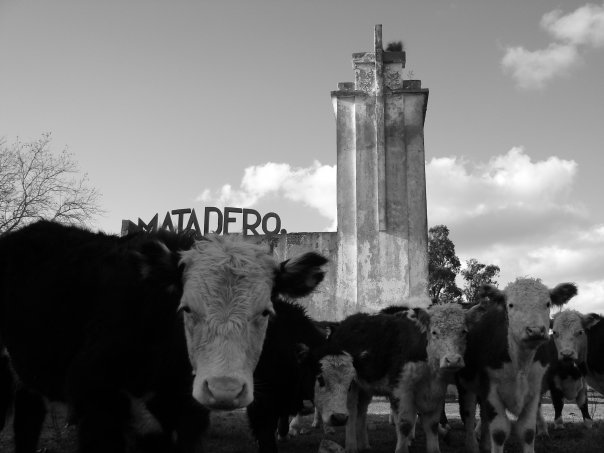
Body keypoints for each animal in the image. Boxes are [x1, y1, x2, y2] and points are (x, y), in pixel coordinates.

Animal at [312, 302, 468, 453]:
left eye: (464, 332)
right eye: (434, 332)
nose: (453, 360)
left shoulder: (437, 391)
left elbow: (432, 424)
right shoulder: (402, 389)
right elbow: (405, 423)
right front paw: (403, 447)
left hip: (365, 388)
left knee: (362, 411)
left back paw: (364, 444)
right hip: (350, 385)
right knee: (351, 411)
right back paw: (351, 446)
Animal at [458, 278, 576, 452]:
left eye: (547, 303)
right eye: (511, 305)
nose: (535, 330)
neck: (520, 364)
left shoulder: (534, 390)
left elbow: (527, 431)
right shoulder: (491, 390)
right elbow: (499, 432)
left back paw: (485, 445)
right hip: (466, 385)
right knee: (468, 414)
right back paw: (472, 445)